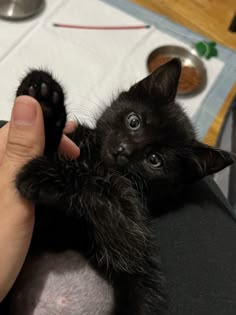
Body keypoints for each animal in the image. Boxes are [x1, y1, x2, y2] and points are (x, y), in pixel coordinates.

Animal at [6, 58, 235, 314]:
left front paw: (42, 176)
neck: (95, 161)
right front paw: (43, 100)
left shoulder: (130, 227)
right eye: (133, 121)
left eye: (154, 160)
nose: (123, 150)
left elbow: (102, 195)